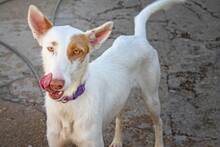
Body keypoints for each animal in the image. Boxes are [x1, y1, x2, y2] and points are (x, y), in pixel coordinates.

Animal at [27, 0, 186, 146]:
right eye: (50, 48)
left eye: (77, 51)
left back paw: (158, 142)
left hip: (151, 98)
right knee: (120, 116)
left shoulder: (93, 141)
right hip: (121, 96)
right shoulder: (55, 141)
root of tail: (138, 37)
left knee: (159, 122)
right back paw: (117, 141)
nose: (55, 84)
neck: (69, 104)